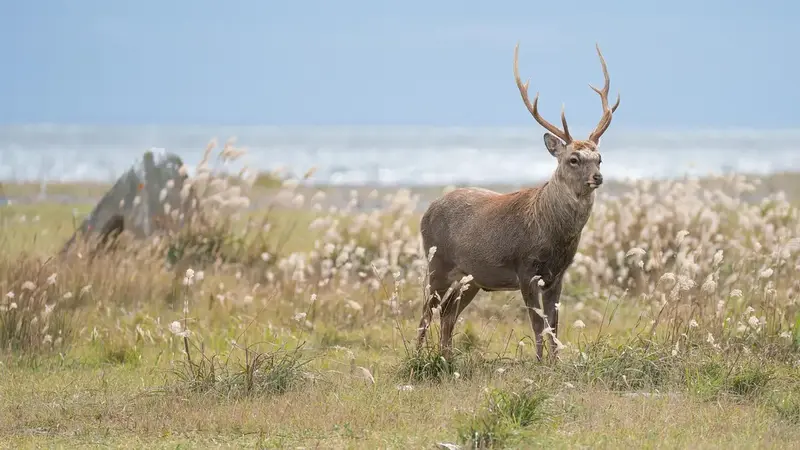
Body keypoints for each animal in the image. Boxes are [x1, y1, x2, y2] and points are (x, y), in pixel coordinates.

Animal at [415, 42, 620, 362]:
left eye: (599, 157)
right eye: (574, 159)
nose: (597, 177)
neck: (551, 234)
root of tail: (427, 211)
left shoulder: (557, 275)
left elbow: (554, 325)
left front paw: (555, 362)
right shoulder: (525, 267)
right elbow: (537, 323)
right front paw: (539, 363)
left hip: (472, 276)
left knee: (448, 312)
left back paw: (447, 358)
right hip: (437, 261)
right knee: (426, 312)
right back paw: (418, 357)